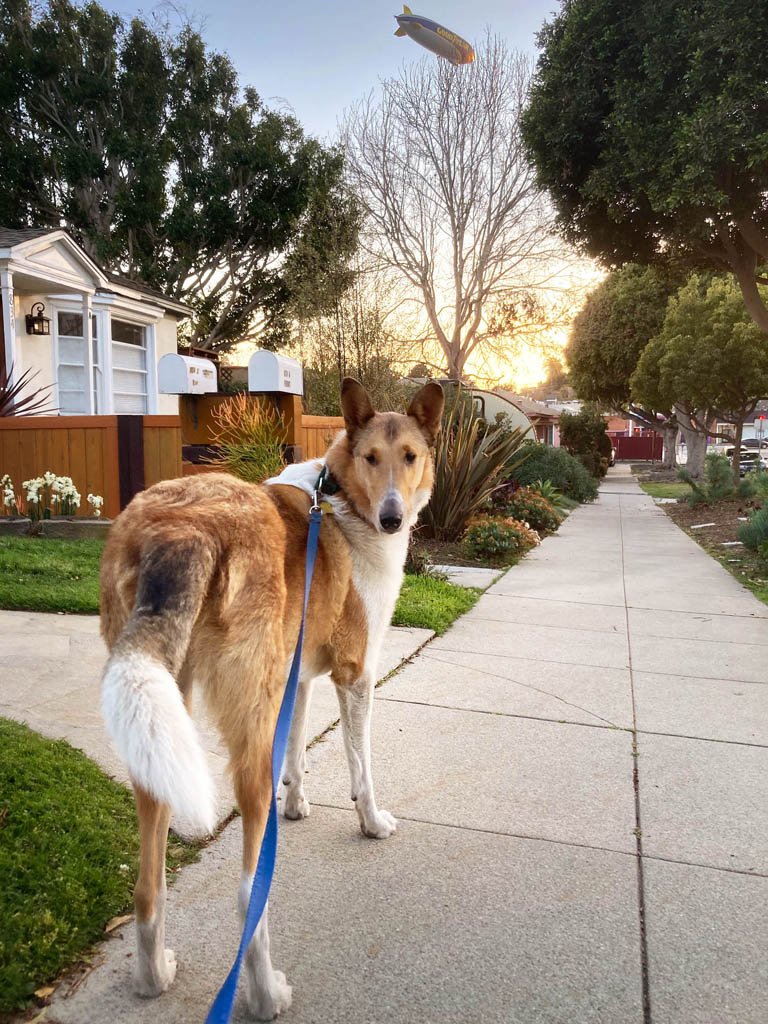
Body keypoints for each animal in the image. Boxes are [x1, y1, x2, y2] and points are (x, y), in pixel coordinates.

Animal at [101, 376, 444, 1015]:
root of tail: (180, 530)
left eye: (410, 456)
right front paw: (371, 823)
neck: (341, 500)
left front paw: (297, 805)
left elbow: (299, 753)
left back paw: (153, 976)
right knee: (246, 893)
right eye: (372, 458)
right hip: (244, 730)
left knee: (147, 884)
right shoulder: (355, 676)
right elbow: (360, 765)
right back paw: (264, 995)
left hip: (159, 716)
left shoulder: (298, 678)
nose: (391, 519)